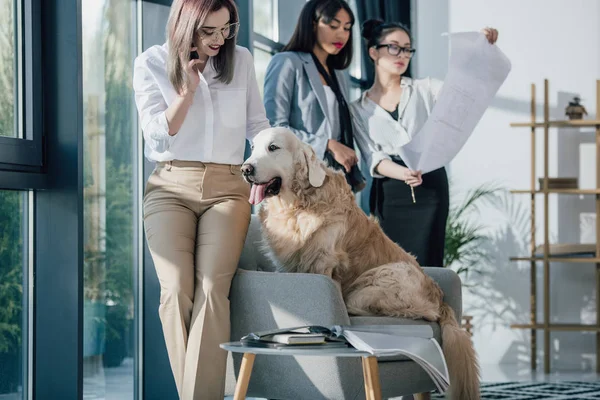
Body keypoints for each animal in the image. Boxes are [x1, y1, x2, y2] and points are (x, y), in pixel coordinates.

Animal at [241, 126, 480, 398]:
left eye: (273, 148)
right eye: (253, 148)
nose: (245, 169)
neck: (298, 205)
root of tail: (441, 299)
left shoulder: (323, 264)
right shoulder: (287, 266)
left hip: (383, 278)